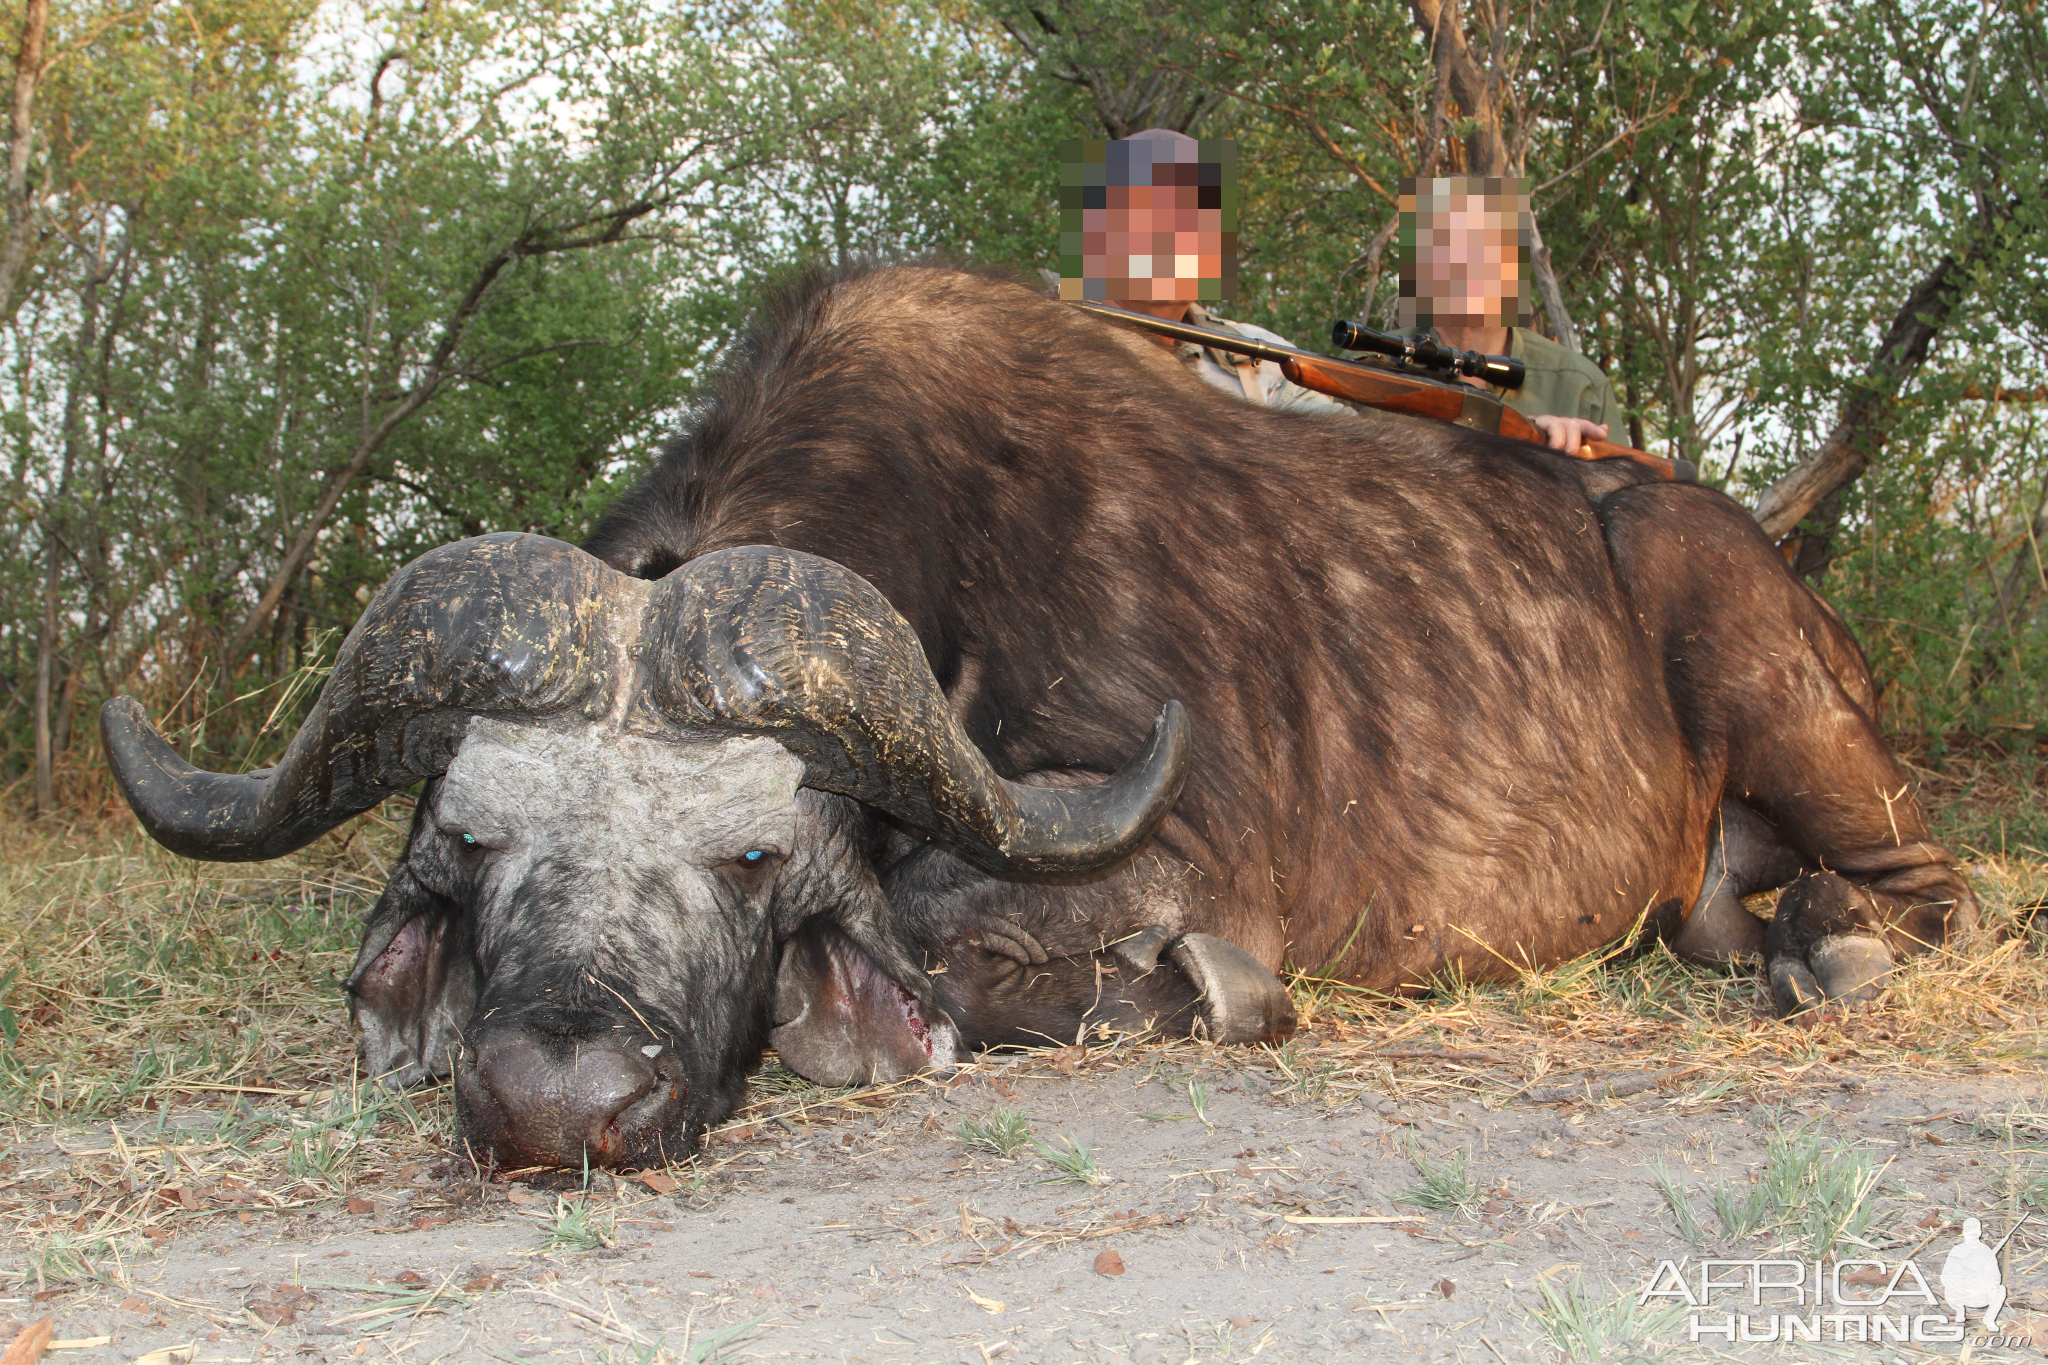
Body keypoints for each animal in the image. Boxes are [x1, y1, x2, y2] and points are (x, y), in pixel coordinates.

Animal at [99, 261, 1982, 1170]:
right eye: (480, 846)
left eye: (751, 859)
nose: (558, 1100)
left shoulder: (1174, 846)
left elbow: (971, 936)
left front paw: (1176, 992)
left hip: (1789, 713)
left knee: (1931, 889)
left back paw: (1827, 942)